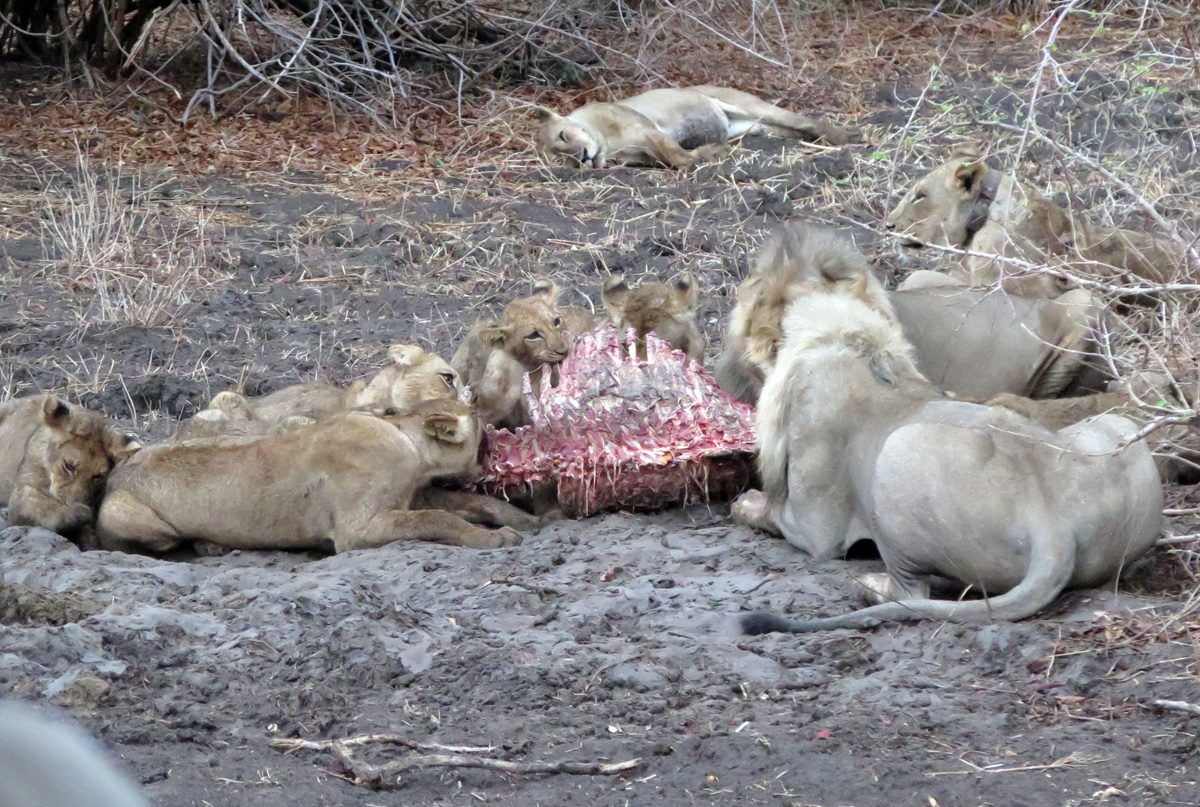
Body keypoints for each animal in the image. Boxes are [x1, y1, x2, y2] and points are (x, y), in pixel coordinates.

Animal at [0, 395, 139, 542]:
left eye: (97, 476)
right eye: (68, 466)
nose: (71, 502)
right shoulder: (24, 495)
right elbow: (45, 510)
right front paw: (79, 512)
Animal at [98, 399, 524, 555]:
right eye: (479, 419)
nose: (495, 419)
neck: (405, 437)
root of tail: (118, 474)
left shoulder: (410, 496)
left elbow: (466, 502)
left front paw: (524, 519)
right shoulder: (357, 529)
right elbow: (438, 519)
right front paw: (493, 538)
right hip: (131, 516)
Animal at [534, 85, 859, 170]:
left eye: (563, 135)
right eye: (562, 160)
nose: (581, 158)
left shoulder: (649, 131)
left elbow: (678, 156)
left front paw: (712, 153)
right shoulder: (644, 156)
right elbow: (673, 159)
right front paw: (712, 152)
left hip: (748, 106)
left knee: (802, 120)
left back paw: (844, 135)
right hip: (756, 127)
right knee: (794, 130)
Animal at [733, 272, 1162, 632]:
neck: (850, 340)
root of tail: (1054, 526)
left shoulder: (818, 529)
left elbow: (769, 513)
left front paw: (744, 503)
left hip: (894, 456)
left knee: (911, 592)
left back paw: (866, 584)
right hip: (1118, 429)